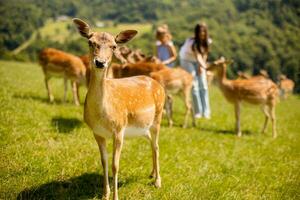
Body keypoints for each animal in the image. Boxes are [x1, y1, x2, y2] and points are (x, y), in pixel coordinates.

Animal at [73, 17, 165, 200]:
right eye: (90, 42)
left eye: (114, 46)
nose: (100, 62)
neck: (101, 115)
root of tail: (158, 84)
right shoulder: (97, 132)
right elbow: (104, 162)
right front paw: (104, 194)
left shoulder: (119, 129)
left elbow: (115, 165)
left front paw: (115, 196)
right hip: (143, 127)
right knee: (151, 143)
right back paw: (151, 174)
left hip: (158, 117)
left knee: (157, 146)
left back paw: (158, 181)